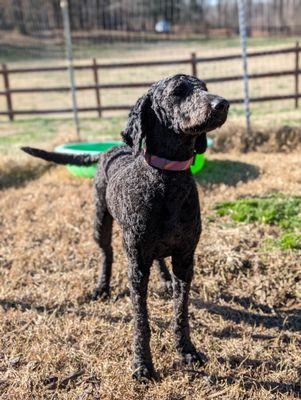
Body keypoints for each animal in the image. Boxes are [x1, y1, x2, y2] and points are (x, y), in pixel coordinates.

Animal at [22, 73, 227, 382]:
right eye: (178, 91)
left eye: (204, 87)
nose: (222, 103)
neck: (165, 179)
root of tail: (112, 149)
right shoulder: (137, 267)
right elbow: (141, 320)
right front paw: (142, 365)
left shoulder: (185, 258)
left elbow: (181, 312)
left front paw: (187, 351)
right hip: (100, 223)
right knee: (106, 254)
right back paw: (102, 287)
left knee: (158, 260)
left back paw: (164, 279)